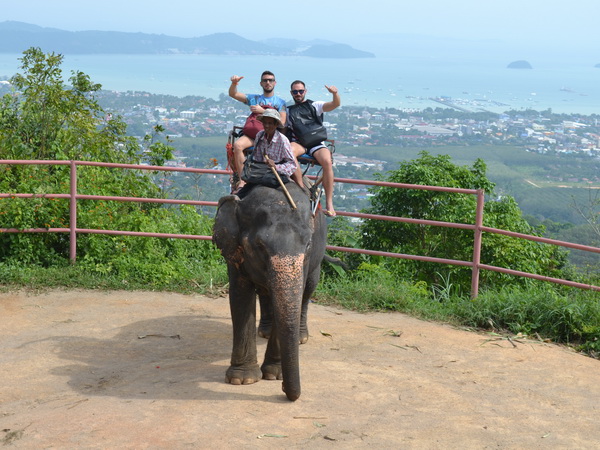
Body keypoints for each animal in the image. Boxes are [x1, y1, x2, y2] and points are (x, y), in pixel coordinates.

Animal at [212, 183, 326, 400]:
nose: (284, 390)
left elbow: (295, 296)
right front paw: (242, 379)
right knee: (264, 292)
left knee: (308, 289)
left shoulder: (307, 259)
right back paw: (263, 332)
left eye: (308, 244)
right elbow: (240, 296)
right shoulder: (233, 249)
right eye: (259, 245)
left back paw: (301, 338)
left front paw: (273, 375)